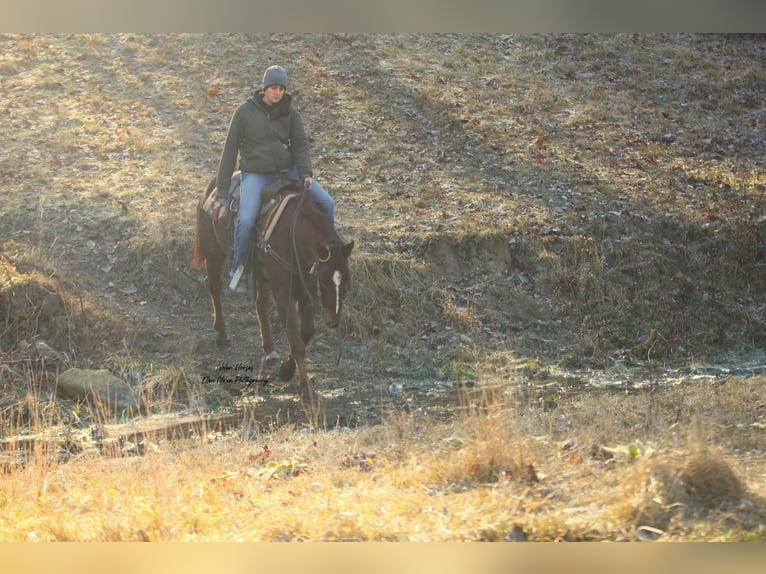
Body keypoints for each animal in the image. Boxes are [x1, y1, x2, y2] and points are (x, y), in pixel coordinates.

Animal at [195, 173, 356, 402]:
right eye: (324, 280)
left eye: (348, 280)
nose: (333, 321)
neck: (293, 236)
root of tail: (211, 187)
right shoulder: (283, 293)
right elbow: (296, 342)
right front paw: (305, 388)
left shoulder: (305, 292)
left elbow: (306, 333)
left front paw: (286, 370)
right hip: (214, 253)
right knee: (215, 289)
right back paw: (222, 335)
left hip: (263, 277)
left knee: (260, 306)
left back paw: (270, 351)